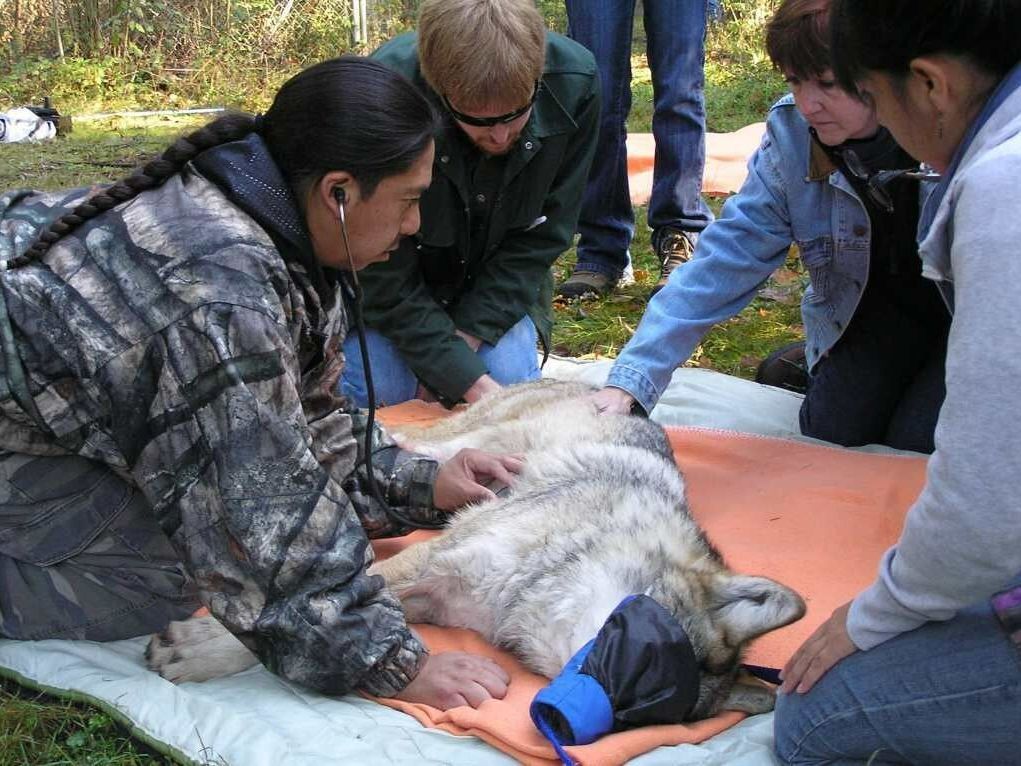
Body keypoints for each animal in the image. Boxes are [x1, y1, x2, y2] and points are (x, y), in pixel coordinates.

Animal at [148, 379, 805, 720]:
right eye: (645, 662)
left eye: (639, 718)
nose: (565, 718)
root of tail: (597, 382)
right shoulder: (432, 560)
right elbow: (287, 619)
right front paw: (196, 648)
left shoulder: (439, 598)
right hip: (466, 442)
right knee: (385, 441)